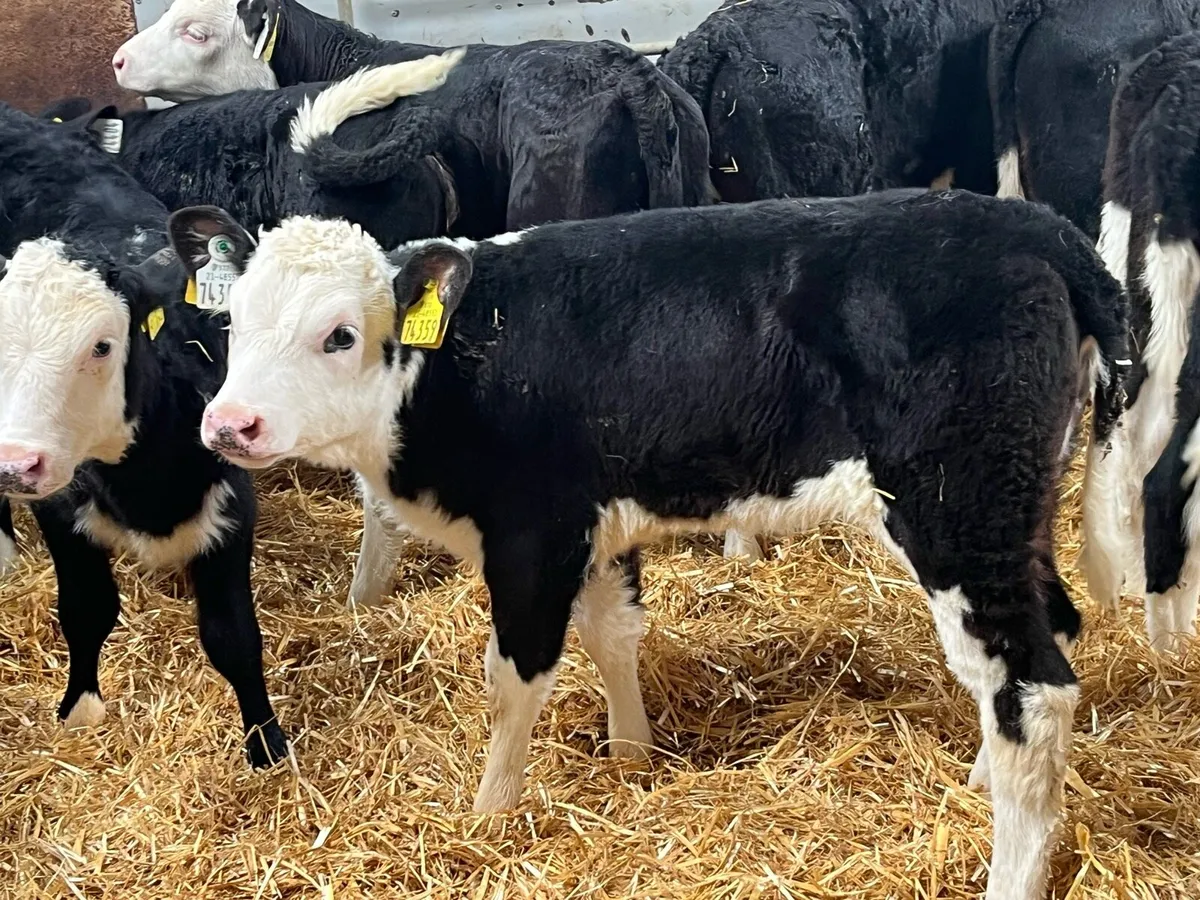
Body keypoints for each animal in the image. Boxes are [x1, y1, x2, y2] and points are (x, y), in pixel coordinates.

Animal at [0, 103, 286, 767]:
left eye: (102, 345)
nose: (14, 464)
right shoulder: (59, 507)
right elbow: (85, 610)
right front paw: (80, 708)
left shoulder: (231, 503)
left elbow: (233, 636)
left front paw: (266, 742)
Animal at [169, 189, 1126, 900]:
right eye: (233, 322)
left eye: (338, 333)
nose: (228, 424)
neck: (458, 363)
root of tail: (1035, 227)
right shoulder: (596, 525)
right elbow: (614, 635)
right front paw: (632, 756)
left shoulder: (533, 535)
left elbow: (514, 680)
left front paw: (489, 815)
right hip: (1013, 514)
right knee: (1046, 638)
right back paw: (978, 782)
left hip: (961, 511)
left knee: (1030, 686)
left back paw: (1009, 871)